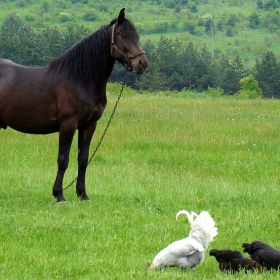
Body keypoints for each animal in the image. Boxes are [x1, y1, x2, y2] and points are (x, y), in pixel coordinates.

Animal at [0, 8, 149, 201]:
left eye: (137, 36)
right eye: (123, 36)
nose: (142, 63)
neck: (80, 79)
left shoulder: (88, 125)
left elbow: (83, 159)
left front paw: (82, 194)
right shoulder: (68, 124)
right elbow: (63, 159)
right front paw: (59, 195)